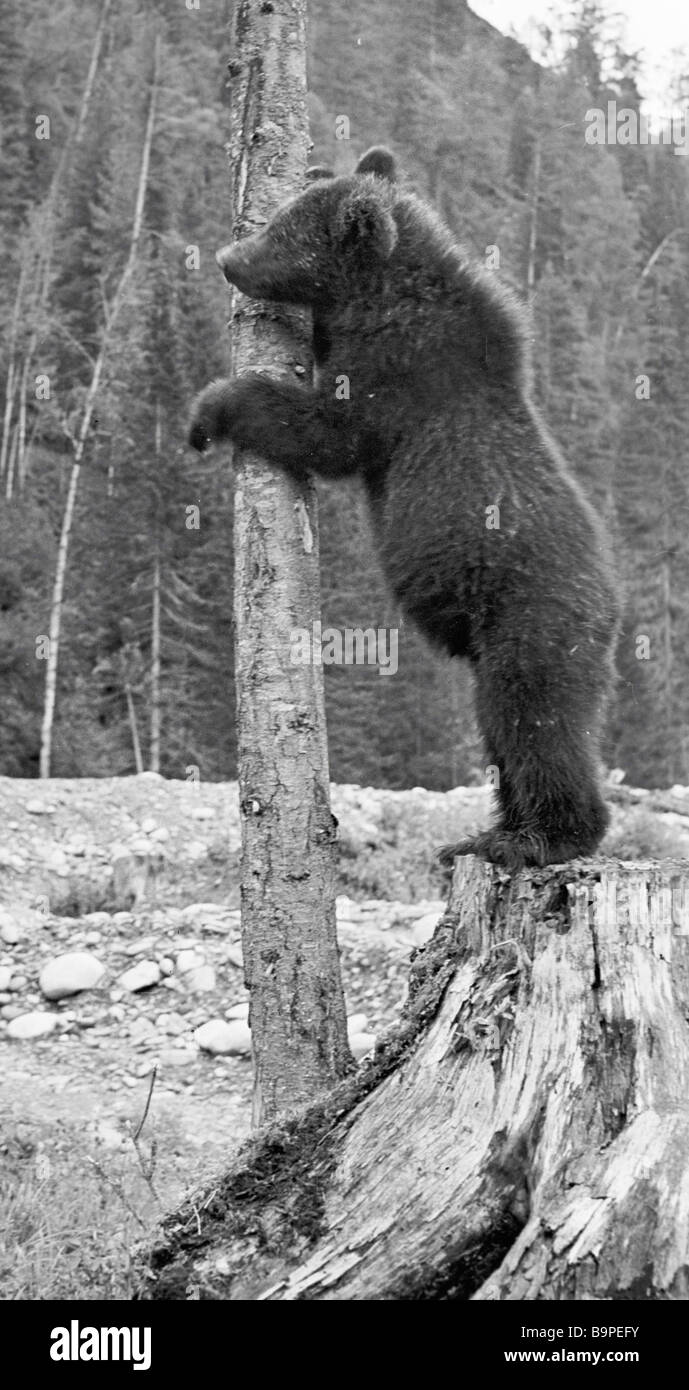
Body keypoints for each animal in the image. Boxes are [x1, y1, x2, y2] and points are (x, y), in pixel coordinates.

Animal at [189, 146, 620, 871]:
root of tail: (612, 612)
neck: (378, 293)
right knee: (504, 736)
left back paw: (536, 838)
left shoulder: (400, 372)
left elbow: (327, 431)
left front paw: (212, 409)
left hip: (530, 624)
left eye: (283, 233)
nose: (226, 256)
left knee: (531, 721)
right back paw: (486, 832)